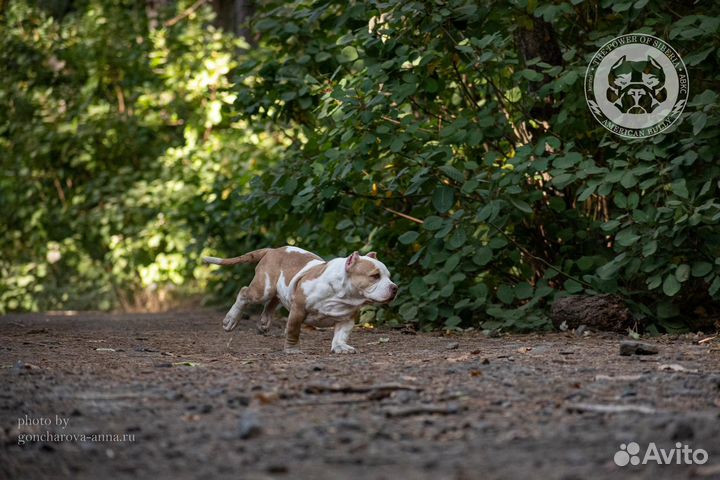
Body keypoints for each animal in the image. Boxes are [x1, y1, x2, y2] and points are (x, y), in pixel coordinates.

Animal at [201, 248, 400, 352]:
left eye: (389, 277)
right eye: (374, 276)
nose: (394, 287)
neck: (342, 293)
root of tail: (272, 250)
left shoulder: (347, 319)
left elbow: (341, 334)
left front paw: (341, 346)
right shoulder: (298, 310)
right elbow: (293, 330)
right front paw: (292, 348)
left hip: (278, 289)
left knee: (273, 302)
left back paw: (264, 323)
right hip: (263, 289)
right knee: (244, 293)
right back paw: (230, 320)